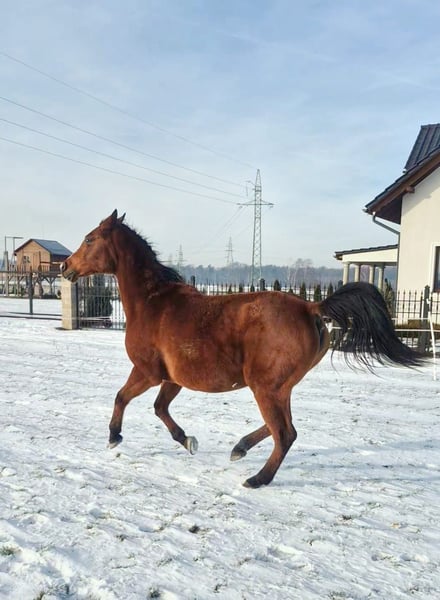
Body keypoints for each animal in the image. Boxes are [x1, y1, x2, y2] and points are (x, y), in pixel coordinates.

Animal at [61, 210, 423, 488]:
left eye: (90, 239)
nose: (65, 267)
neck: (153, 302)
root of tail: (311, 308)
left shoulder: (148, 372)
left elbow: (122, 397)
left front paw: (114, 437)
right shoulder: (173, 379)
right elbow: (160, 409)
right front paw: (188, 441)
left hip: (265, 386)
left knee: (285, 433)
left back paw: (257, 478)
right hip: (277, 386)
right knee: (281, 428)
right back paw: (240, 448)